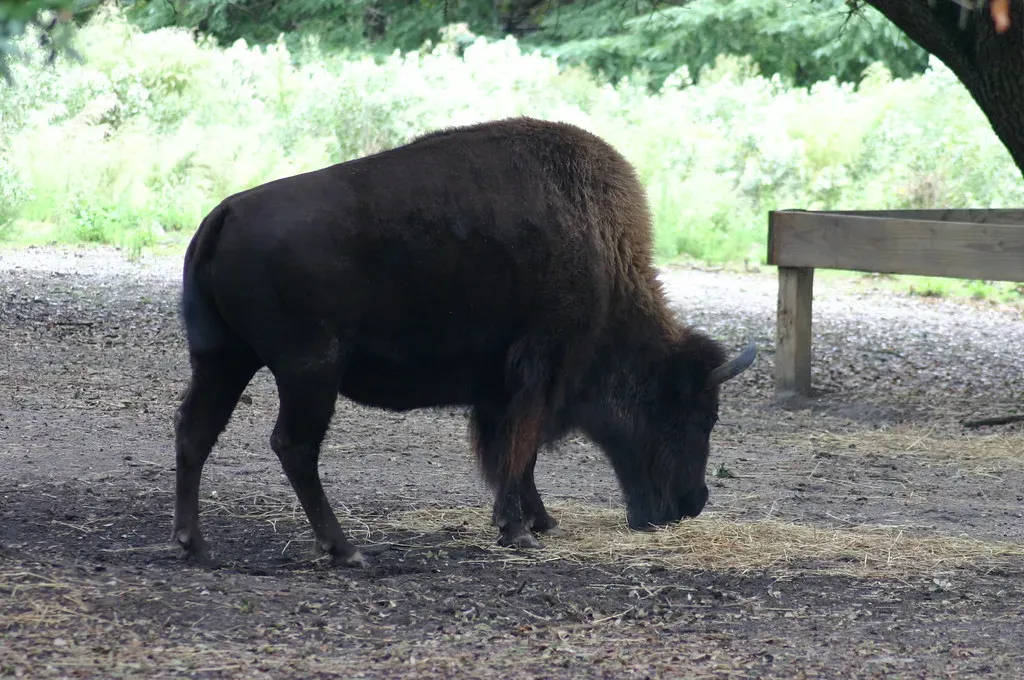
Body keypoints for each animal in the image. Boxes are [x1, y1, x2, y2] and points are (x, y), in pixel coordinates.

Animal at [172, 116, 756, 567]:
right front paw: (518, 530)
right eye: (699, 416)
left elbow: (513, 453)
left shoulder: (501, 387)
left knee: (195, 430)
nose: (691, 503)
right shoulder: (539, 370)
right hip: (309, 374)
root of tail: (224, 213)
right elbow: (519, 447)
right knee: (294, 446)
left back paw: (196, 546)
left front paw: (539, 521)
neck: (604, 261)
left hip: (222, 360)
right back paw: (345, 549)